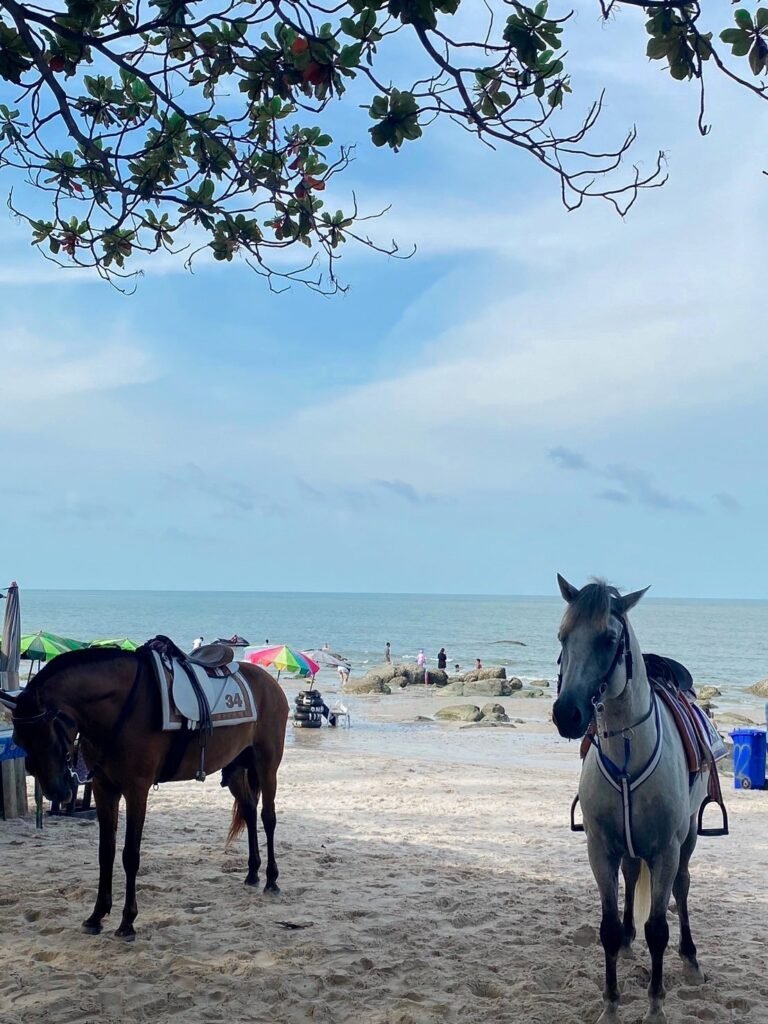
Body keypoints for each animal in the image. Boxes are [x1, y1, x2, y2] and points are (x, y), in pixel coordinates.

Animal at [3, 647, 288, 942]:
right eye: (20, 740)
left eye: (47, 734)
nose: (56, 790)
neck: (119, 708)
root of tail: (269, 681)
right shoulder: (105, 789)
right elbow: (105, 852)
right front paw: (97, 915)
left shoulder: (136, 790)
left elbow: (130, 855)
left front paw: (127, 921)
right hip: (234, 768)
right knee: (249, 811)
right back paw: (252, 872)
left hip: (267, 764)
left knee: (268, 817)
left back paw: (271, 879)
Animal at [552, 577, 708, 1024]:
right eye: (563, 636)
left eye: (608, 638)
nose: (567, 714)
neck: (626, 751)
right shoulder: (600, 848)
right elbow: (605, 927)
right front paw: (610, 1004)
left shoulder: (665, 850)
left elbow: (658, 930)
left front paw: (655, 1006)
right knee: (631, 873)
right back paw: (625, 940)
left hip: (688, 836)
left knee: (682, 888)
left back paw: (690, 959)